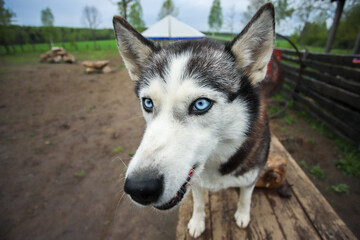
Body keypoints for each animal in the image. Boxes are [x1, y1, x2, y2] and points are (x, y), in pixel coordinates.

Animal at [114, 2, 274, 238]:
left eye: (201, 104)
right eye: (148, 103)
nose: (139, 188)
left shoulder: (250, 177)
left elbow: (246, 197)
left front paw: (243, 215)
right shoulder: (195, 182)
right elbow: (198, 203)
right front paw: (198, 222)